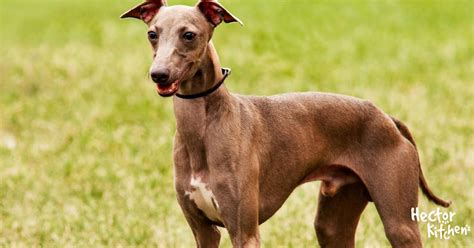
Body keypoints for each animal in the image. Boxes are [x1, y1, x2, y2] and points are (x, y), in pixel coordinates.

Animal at [120, 0, 450, 247]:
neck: (203, 127)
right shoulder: (204, 231)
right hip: (332, 223)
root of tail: (387, 118)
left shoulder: (244, 232)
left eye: (188, 35)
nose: (159, 74)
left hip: (399, 222)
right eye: (152, 34)